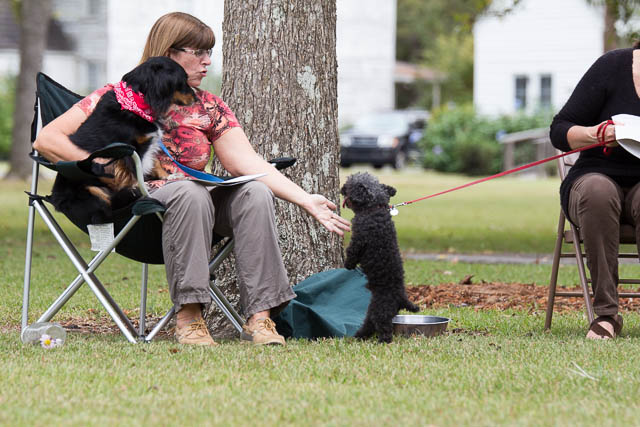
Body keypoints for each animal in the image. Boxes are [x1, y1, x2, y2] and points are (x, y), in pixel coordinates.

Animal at [342, 172, 418, 342]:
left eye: (350, 184)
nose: (341, 189)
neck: (374, 208)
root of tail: (401, 297)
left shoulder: (359, 240)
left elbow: (351, 252)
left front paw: (348, 264)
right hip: (373, 310)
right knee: (369, 325)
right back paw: (359, 337)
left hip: (380, 311)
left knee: (383, 328)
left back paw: (381, 340)